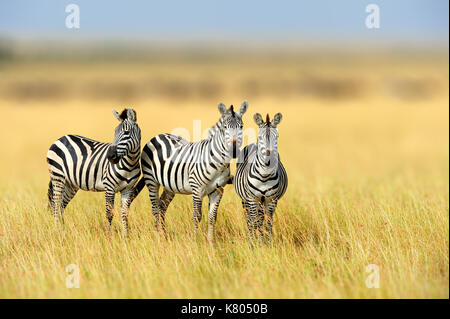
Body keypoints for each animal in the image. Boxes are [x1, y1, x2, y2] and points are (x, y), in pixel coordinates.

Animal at [130, 101, 250, 244]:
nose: (234, 151)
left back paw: (164, 236)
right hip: (151, 180)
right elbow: (197, 216)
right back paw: (158, 237)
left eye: (241, 126)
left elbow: (212, 217)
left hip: (170, 186)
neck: (219, 163)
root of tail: (158, 135)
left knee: (162, 206)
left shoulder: (218, 191)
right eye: (225, 127)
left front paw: (211, 242)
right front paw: (195, 241)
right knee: (155, 208)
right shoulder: (197, 189)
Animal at [234, 112, 286, 242]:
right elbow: (254, 222)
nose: (269, 160)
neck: (264, 176)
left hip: (262, 201)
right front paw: (255, 243)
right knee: (249, 219)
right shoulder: (252, 199)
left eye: (276, 137)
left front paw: (267, 242)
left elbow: (268, 223)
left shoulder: (271, 200)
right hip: (246, 200)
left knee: (261, 218)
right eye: (260, 137)